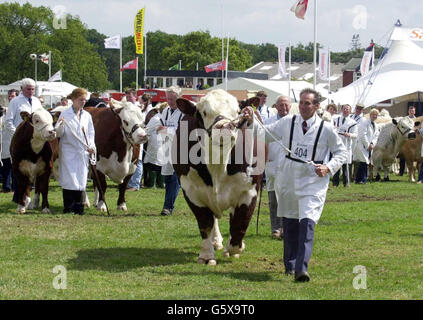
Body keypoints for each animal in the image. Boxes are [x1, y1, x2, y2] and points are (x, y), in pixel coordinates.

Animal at [172, 89, 264, 264]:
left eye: (238, 111)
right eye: (203, 112)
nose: (225, 126)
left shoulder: (249, 192)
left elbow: (239, 225)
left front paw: (236, 248)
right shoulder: (191, 191)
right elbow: (205, 223)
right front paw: (207, 255)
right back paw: (216, 241)